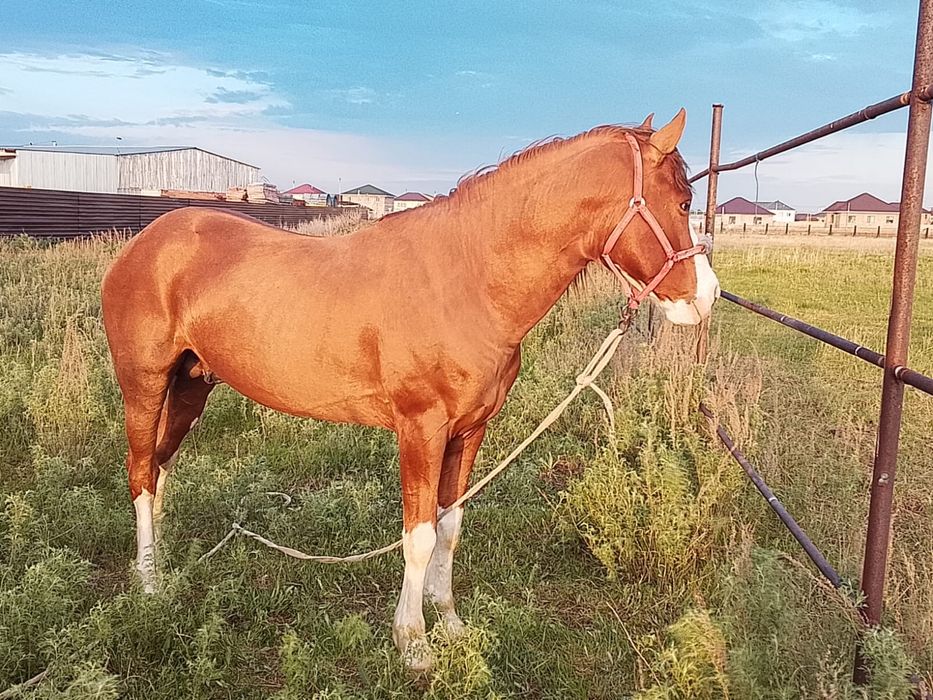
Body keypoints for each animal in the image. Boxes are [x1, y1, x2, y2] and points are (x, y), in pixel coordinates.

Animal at [101, 109, 719, 671]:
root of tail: (145, 243)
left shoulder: (469, 432)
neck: (468, 280)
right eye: (682, 202)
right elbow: (417, 536)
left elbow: (448, 528)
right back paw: (150, 584)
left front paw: (450, 623)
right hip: (144, 387)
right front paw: (413, 643)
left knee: (159, 470)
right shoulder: (421, 430)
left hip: (191, 387)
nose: (707, 297)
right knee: (139, 473)